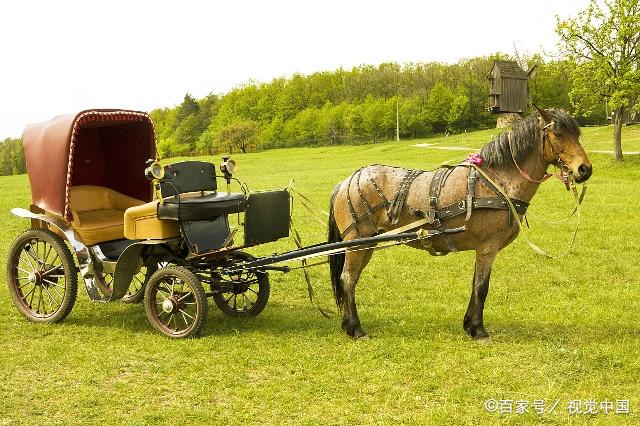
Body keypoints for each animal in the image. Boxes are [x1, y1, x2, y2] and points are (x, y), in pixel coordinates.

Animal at [328, 108, 592, 342]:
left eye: (577, 134)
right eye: (558, 134)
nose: (585, 169)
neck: (497, 182)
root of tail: (346, 182)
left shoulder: (483, 248)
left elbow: (475, 284)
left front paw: (469, 325)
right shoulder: (488, 247)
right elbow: (482, 287)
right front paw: (479, 330)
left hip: (367, 245)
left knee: (351, 279)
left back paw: (348, 324)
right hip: (355, 243)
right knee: (348, 279)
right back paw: (356, 329)